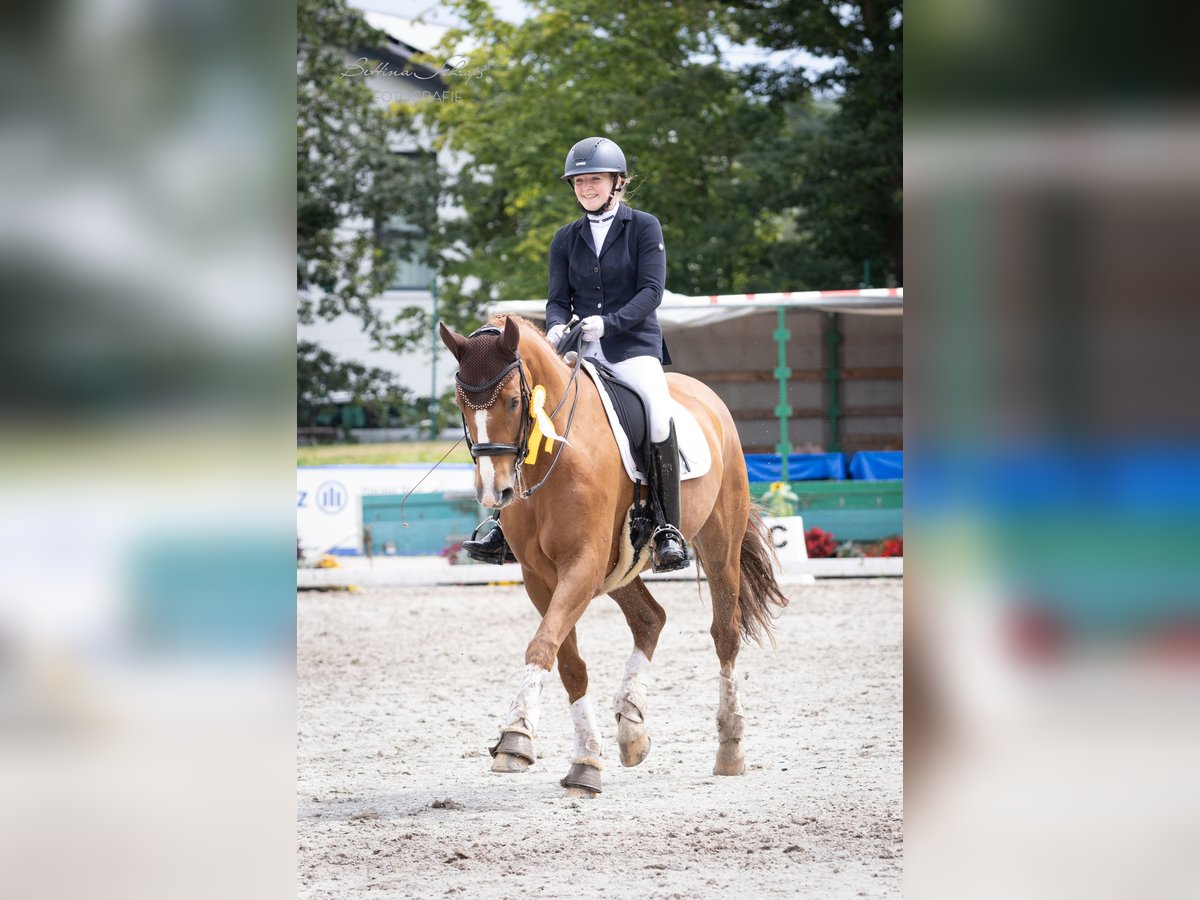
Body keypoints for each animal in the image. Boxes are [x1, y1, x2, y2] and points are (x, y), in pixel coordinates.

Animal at [441, 314, 787, 801]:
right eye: (461, 402)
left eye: (511, 401)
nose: (496, 492)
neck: (556, 451)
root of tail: (706, 396)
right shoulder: (540, 576)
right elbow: (567, 663)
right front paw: (585, 761)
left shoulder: (581, 566)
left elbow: (542, 644)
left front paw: (516, 737)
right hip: (619, 569)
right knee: (651, 619)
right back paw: (632, 727)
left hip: (719, 546)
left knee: (725, 635)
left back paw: (730, 747)